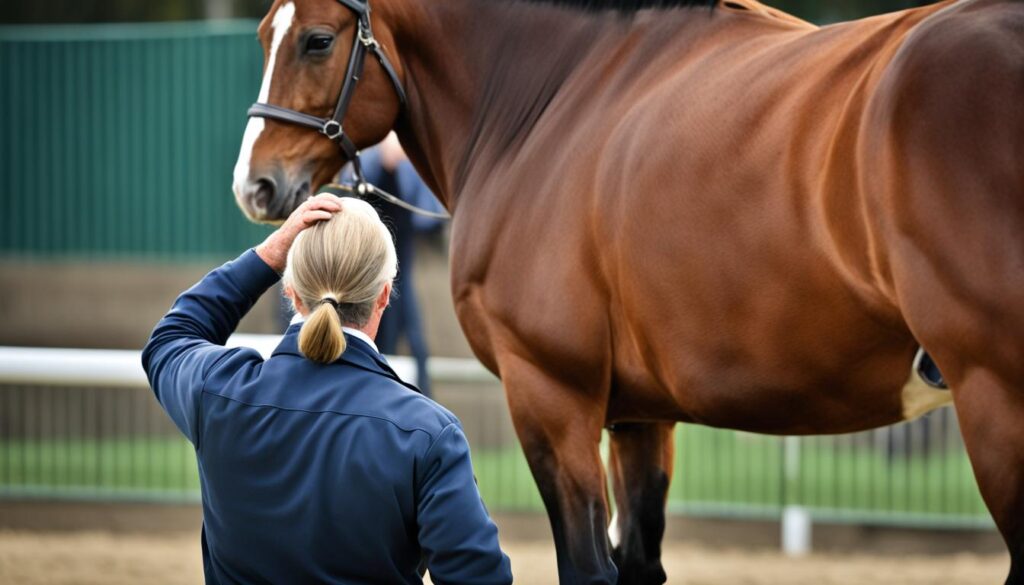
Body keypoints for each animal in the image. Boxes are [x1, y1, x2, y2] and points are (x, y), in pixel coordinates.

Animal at [231, 0, 1024, 582]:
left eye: (317, 40)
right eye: (264, 32)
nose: (255, 184)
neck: (556, 98)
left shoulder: (552, 396)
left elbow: (587, 563)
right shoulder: (641, 416)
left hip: (994, 398)